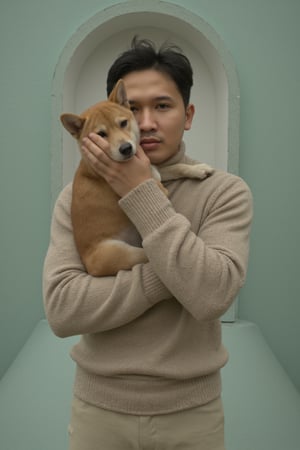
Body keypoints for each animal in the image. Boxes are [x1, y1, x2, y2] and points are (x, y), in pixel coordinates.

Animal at [59, 80, 212, 276]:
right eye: (101, 134)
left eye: (123, 123)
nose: (126, 148)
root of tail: (88, 266)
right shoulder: (157, 185)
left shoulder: (155, 169)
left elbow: (174, 167)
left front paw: (198, 169)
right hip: (121, 253)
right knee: (150, 255)